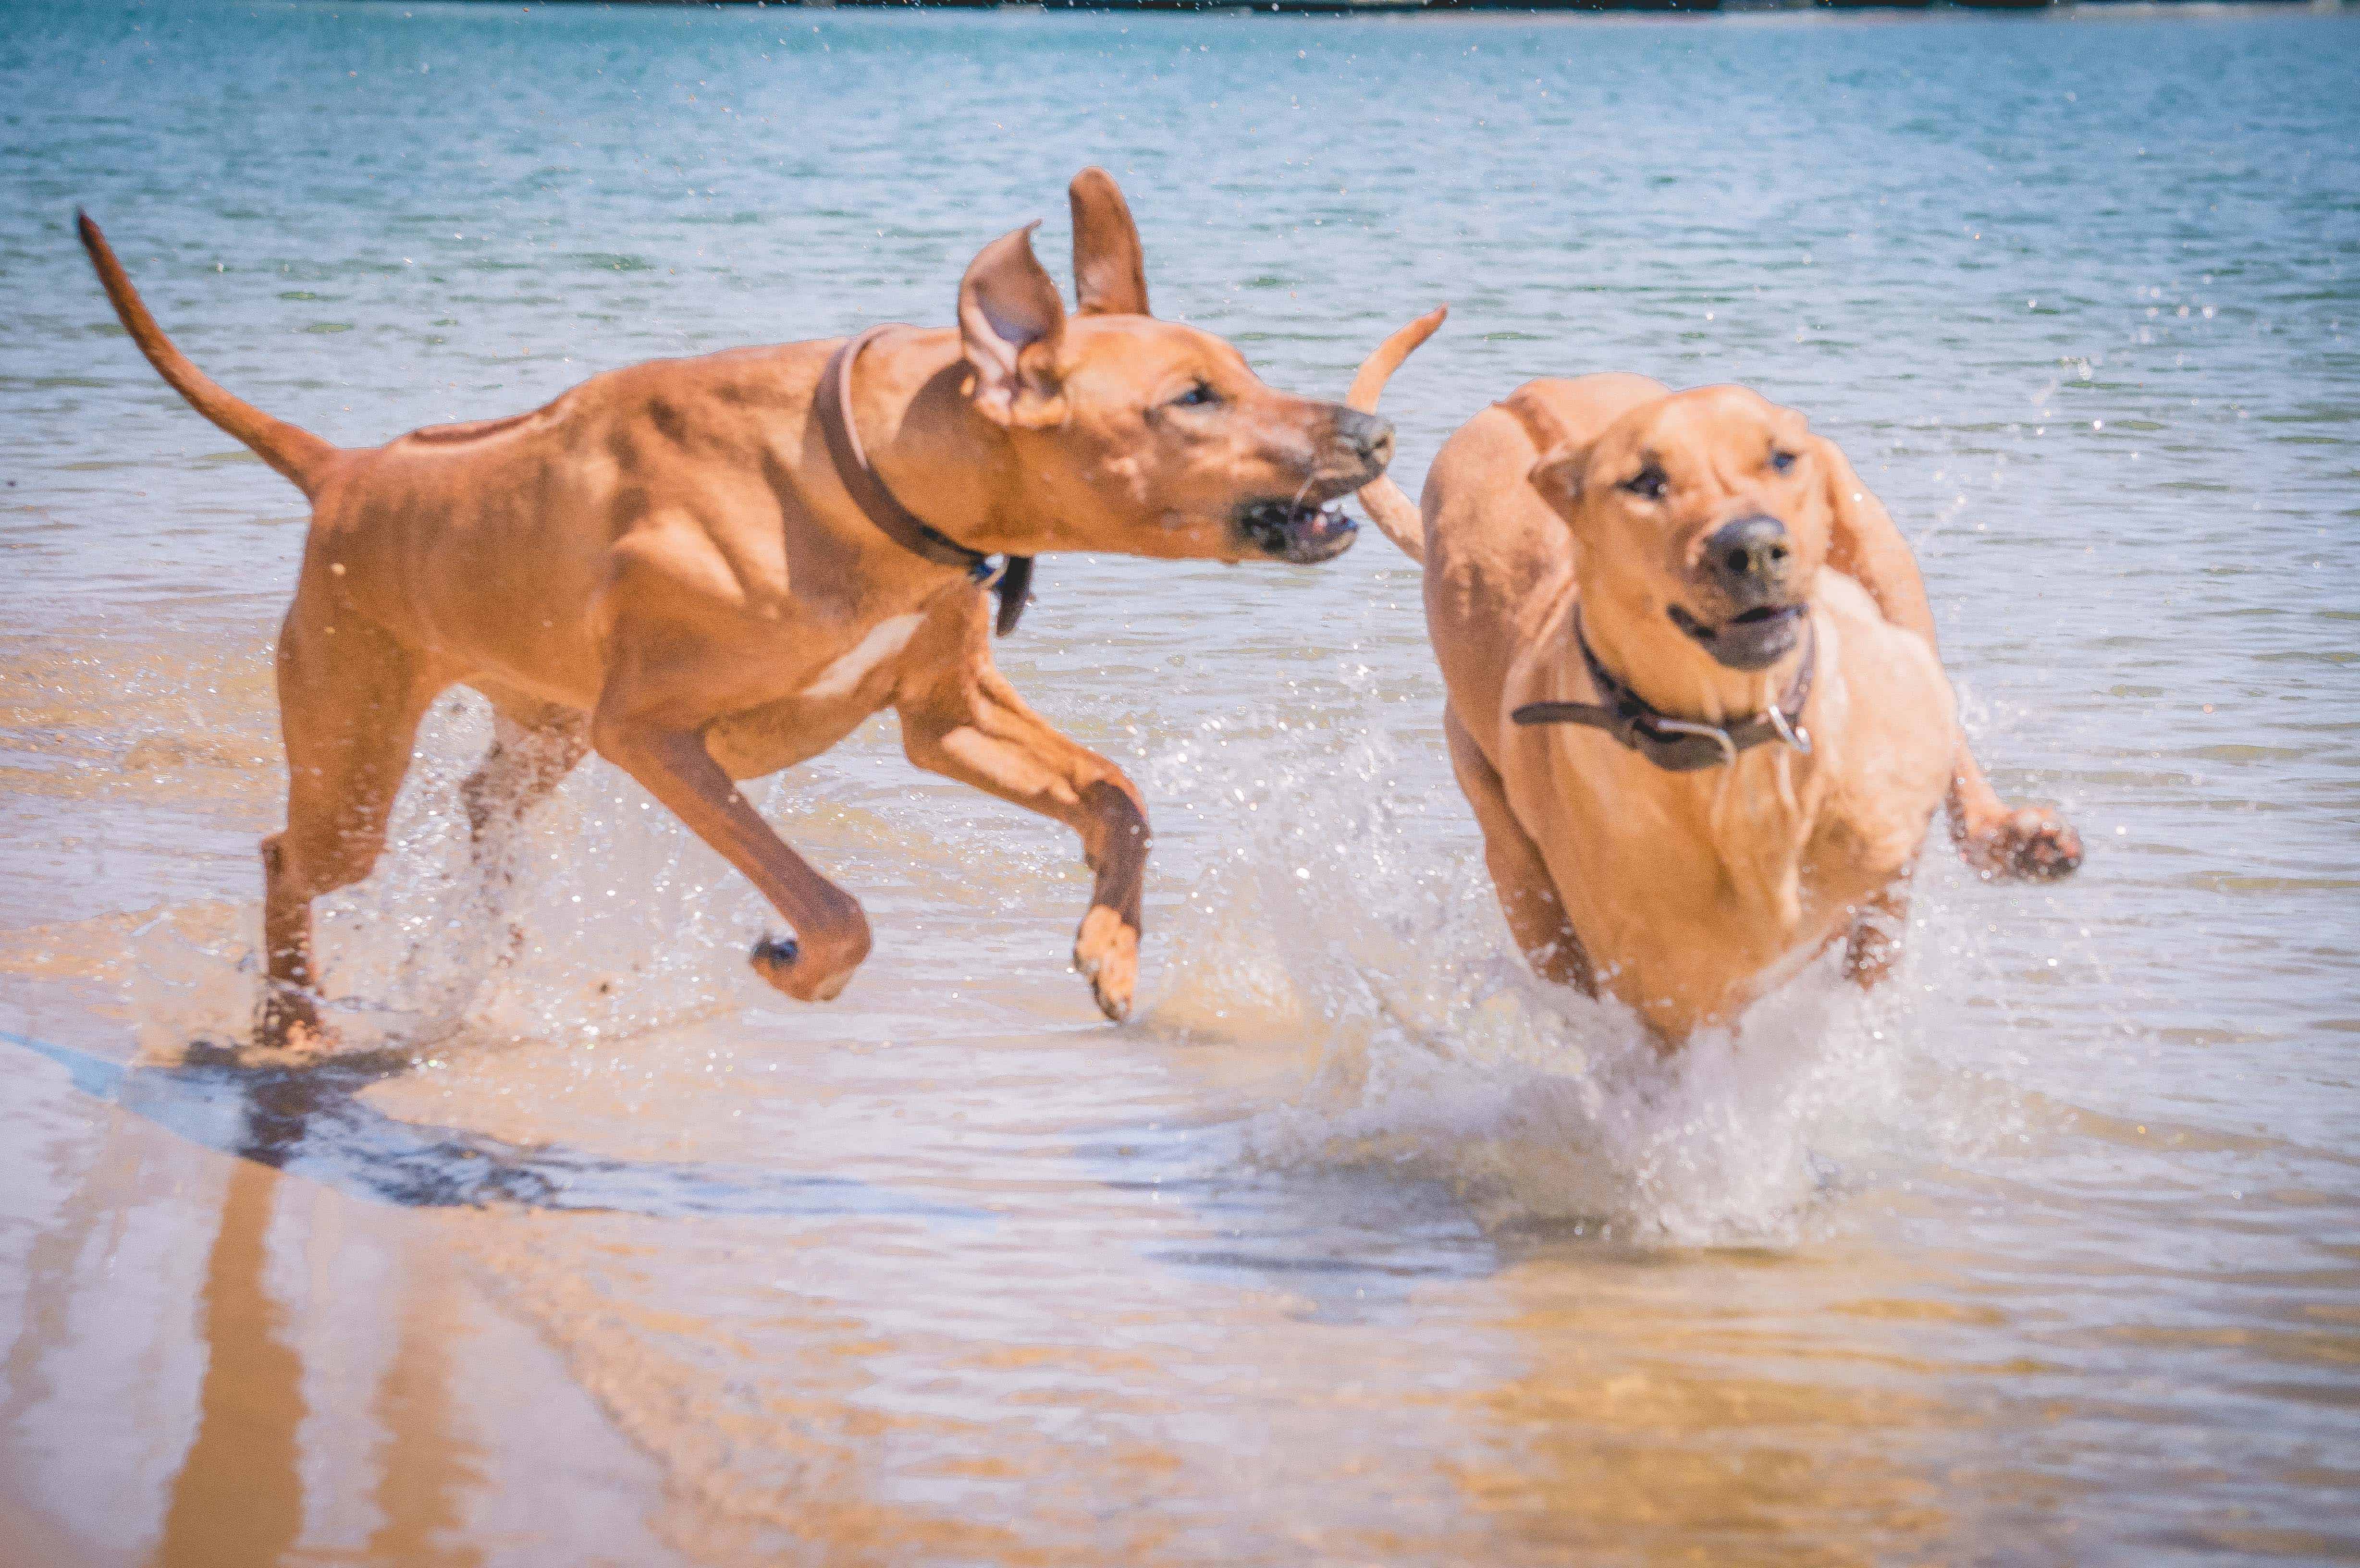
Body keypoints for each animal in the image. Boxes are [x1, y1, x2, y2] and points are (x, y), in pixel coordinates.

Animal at [83, 171, 1388, 1048]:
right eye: (1193, 397)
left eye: (1245, 368)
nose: (1373, 432)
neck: (874, 478)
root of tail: (346, 470)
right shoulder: (654, 737)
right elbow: (835, 908)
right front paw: (793, 960)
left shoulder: (946, 712)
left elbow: (1119, 796)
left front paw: (1112, 951)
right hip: (357, 747)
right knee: (290, 855)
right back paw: (293, 1023)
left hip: (537, 734)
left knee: (479, 813)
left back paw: (472, 966)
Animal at [1359, 309, 2077, 1039]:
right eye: (1645, 483)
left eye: (1781, 459)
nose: (1753, 545)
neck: (1735, 737)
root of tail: (1516, 401)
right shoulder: (1668, 997)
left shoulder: (1883, 850)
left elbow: (1872, 946)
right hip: (1507, 848)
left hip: (1879, 552)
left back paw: (2008, 834)